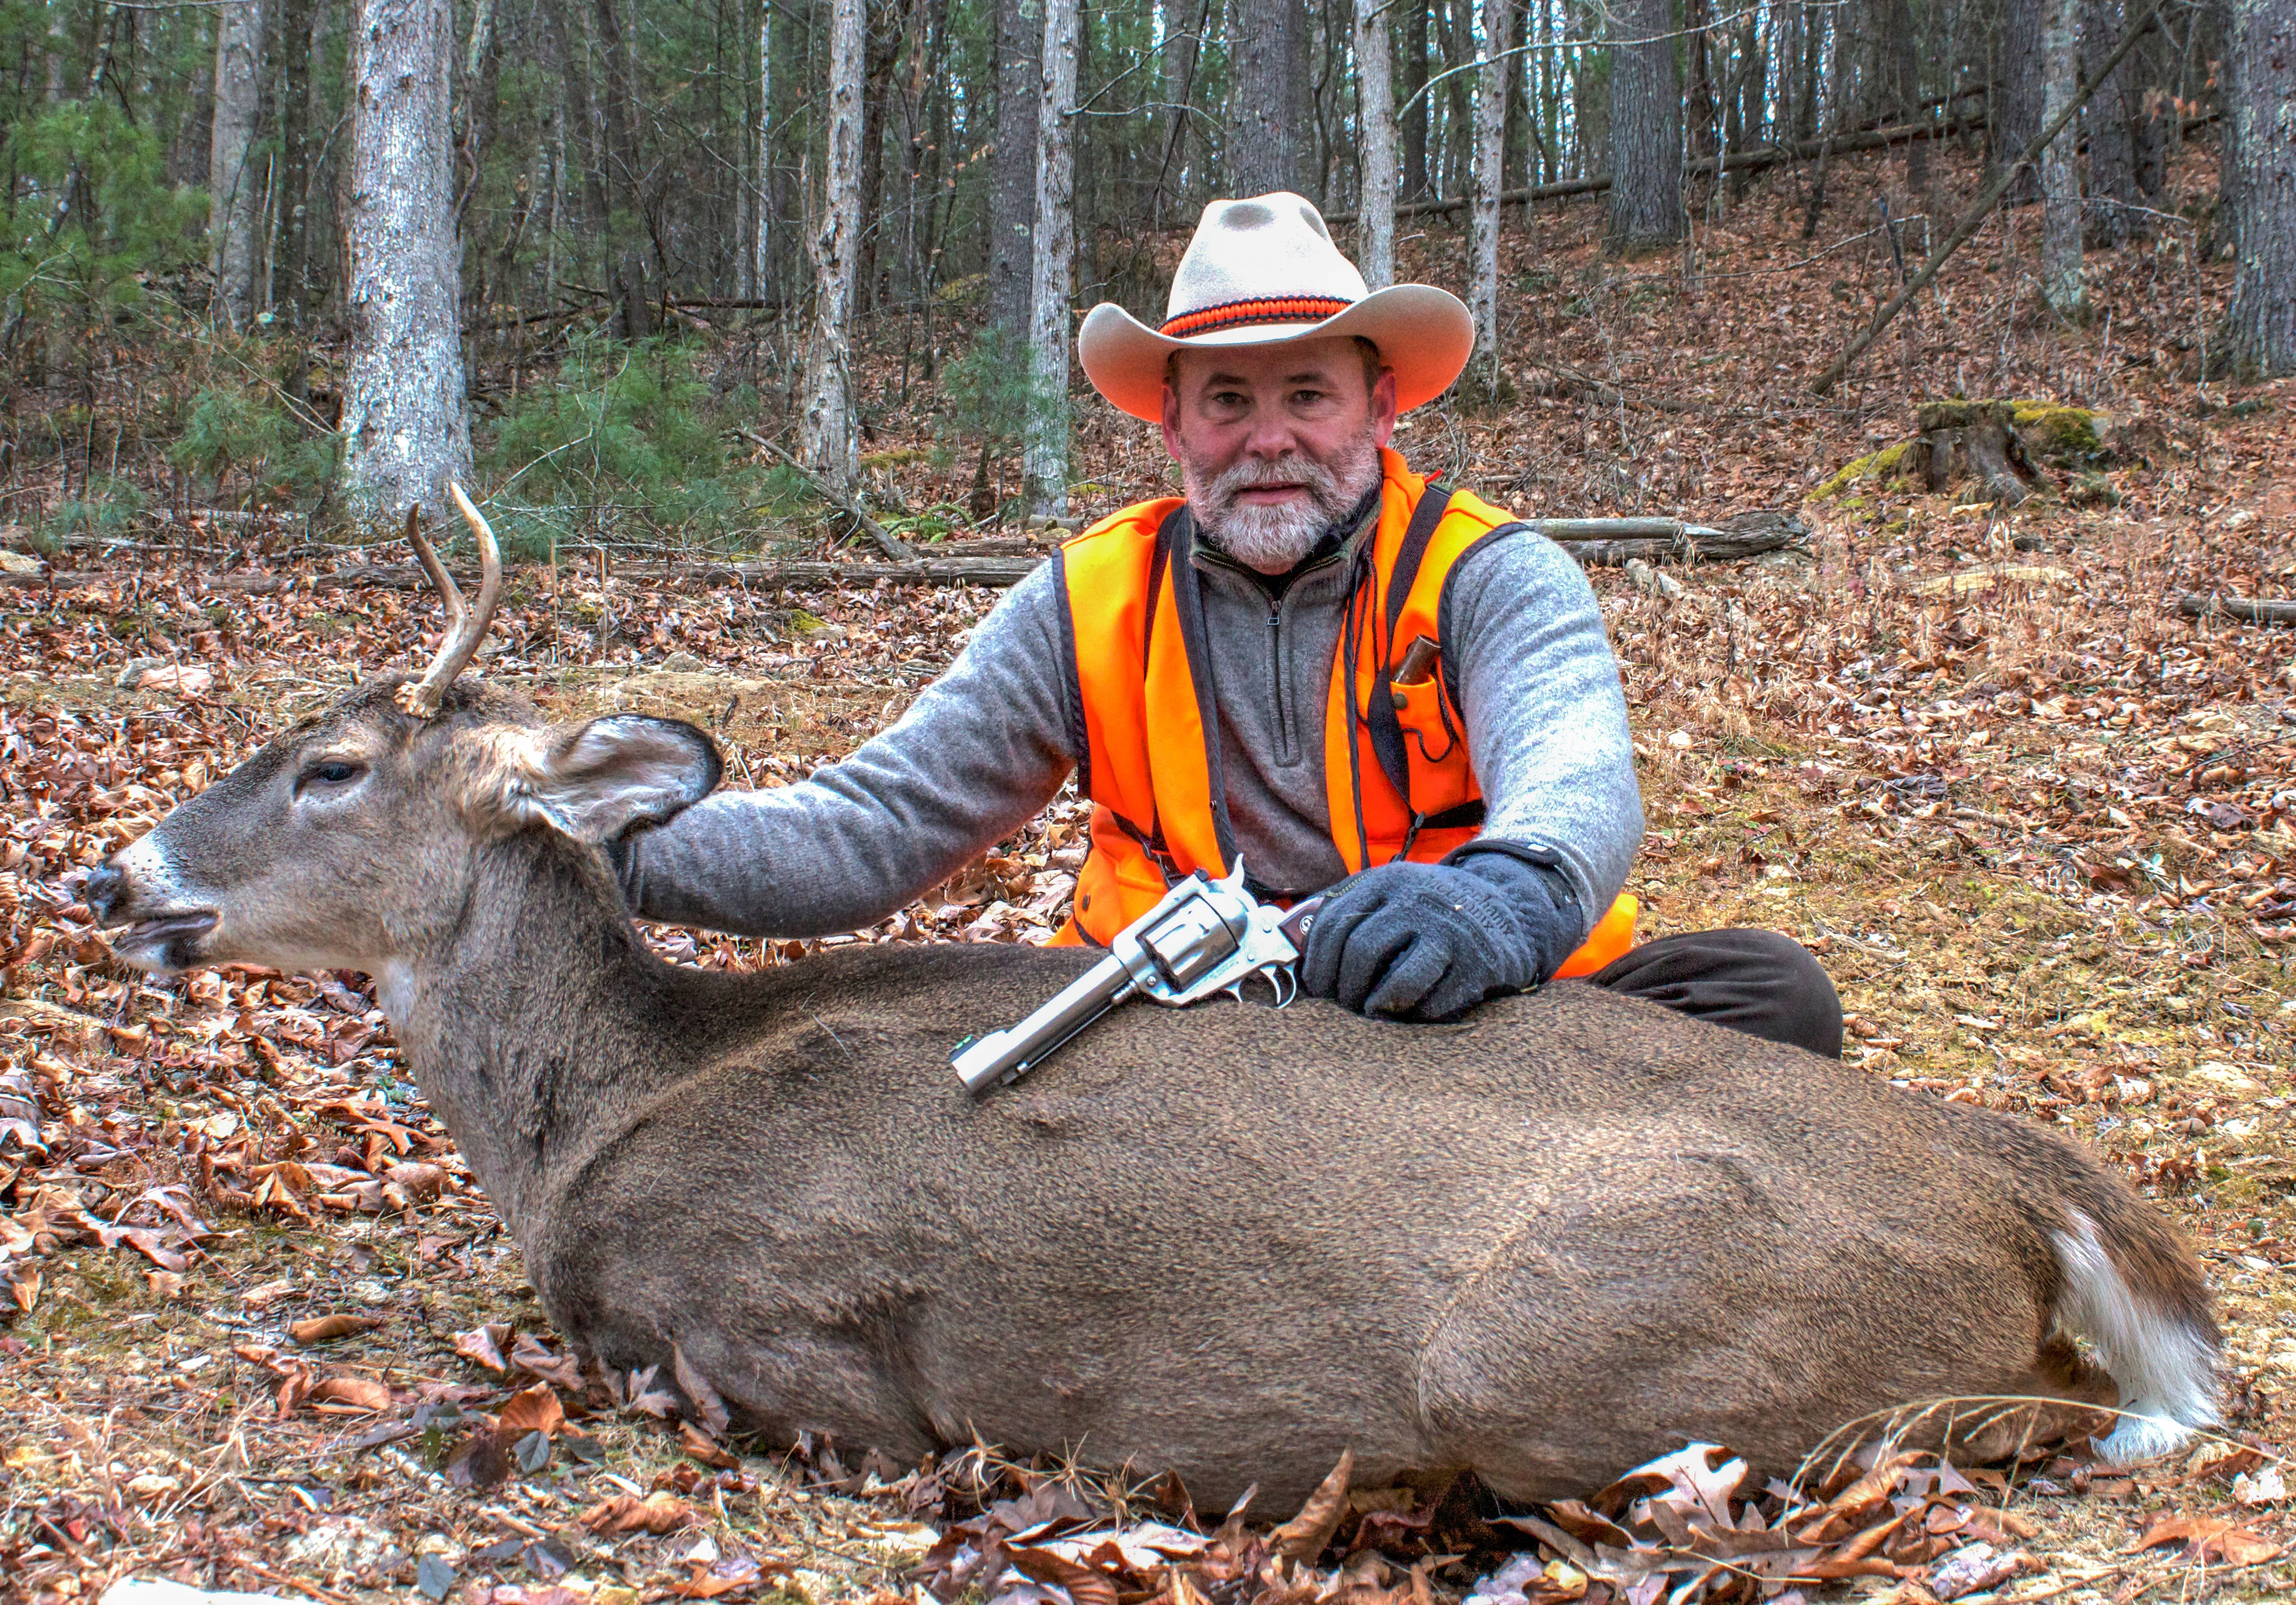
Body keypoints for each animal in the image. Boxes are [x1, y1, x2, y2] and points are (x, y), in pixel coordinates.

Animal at [84, 489, 2220, 1512]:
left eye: (331, 768)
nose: (112, 876)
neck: (597, 1117)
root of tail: (2036, 1184)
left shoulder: (785, 1343)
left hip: (1557, 1332)